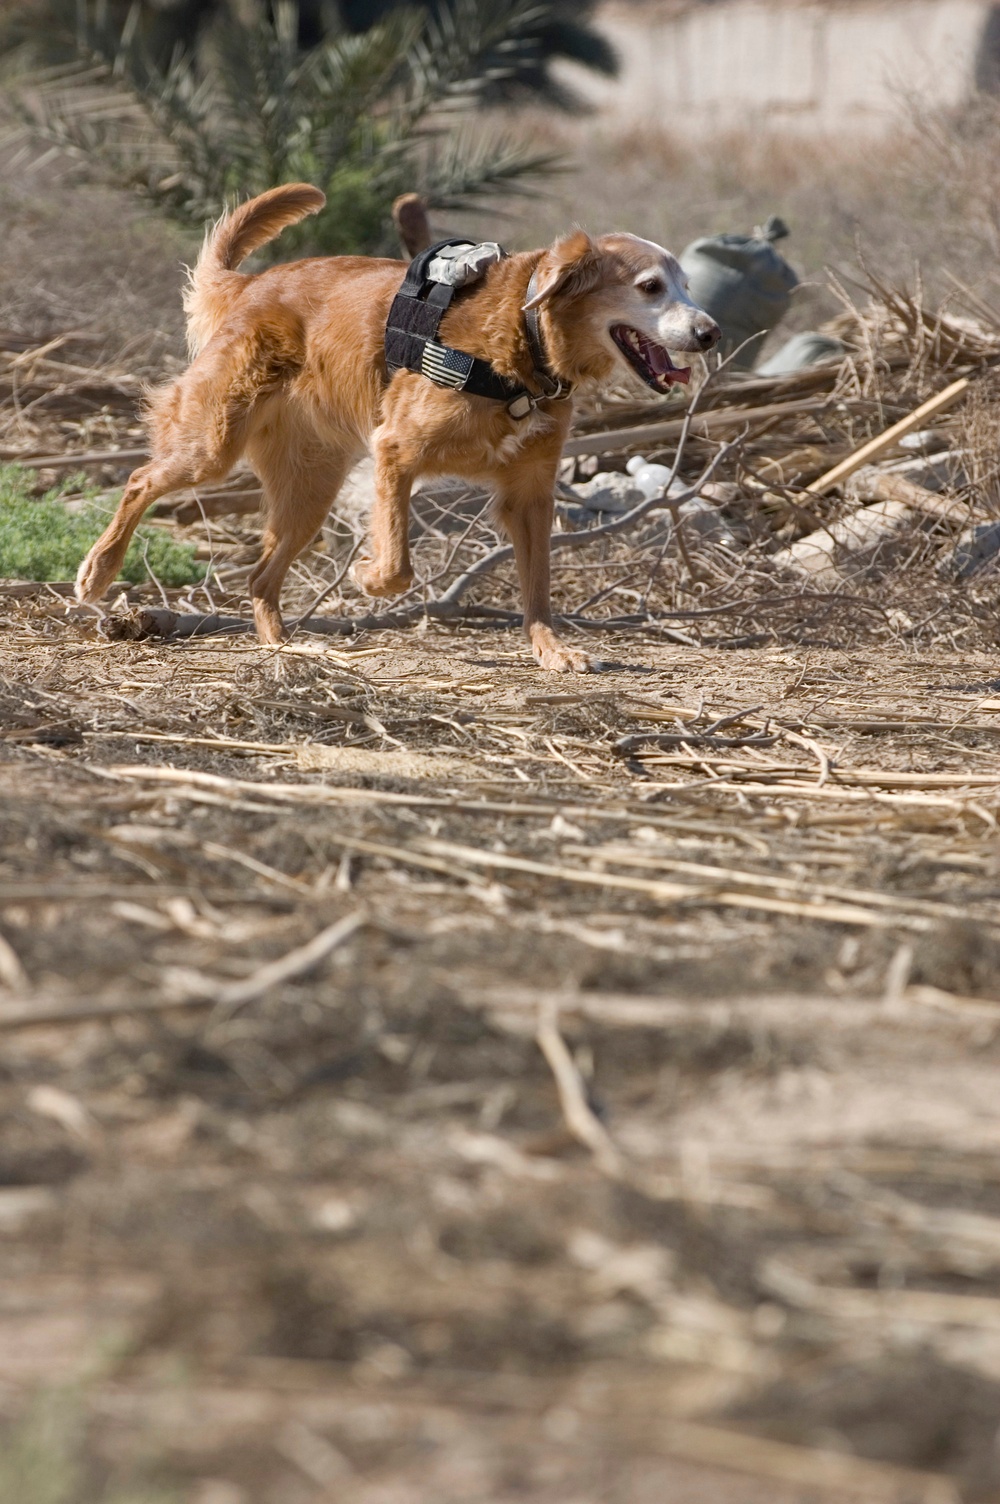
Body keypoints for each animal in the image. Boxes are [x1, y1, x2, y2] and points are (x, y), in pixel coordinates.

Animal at [78, 181, 718, 670]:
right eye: (650, 287)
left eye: (687, 285)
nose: (711, 332)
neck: (524, 341)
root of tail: (252, 285)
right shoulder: (395, 452)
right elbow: (398, 567)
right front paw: (366, 577)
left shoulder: (530, 495)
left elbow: (538, 589)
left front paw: (552, 650)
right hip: (213, 446)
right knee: (139, 480)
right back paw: (97, 573)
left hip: (310, 491)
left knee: (260, 577)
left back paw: (285, 646)